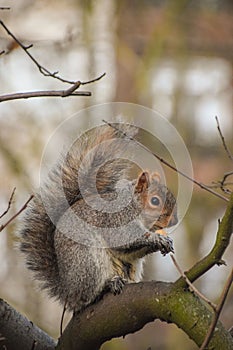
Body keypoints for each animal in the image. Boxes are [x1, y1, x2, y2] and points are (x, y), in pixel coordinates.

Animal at [20, 122, 177, 312]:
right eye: (155, 201)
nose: (174, 220)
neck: (133, 204)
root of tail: (68, 292)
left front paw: (165, 241)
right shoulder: (117, 218)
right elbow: (123, 238)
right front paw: (157, 238)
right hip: (88, 264)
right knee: (88, 295)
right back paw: (108, 285)